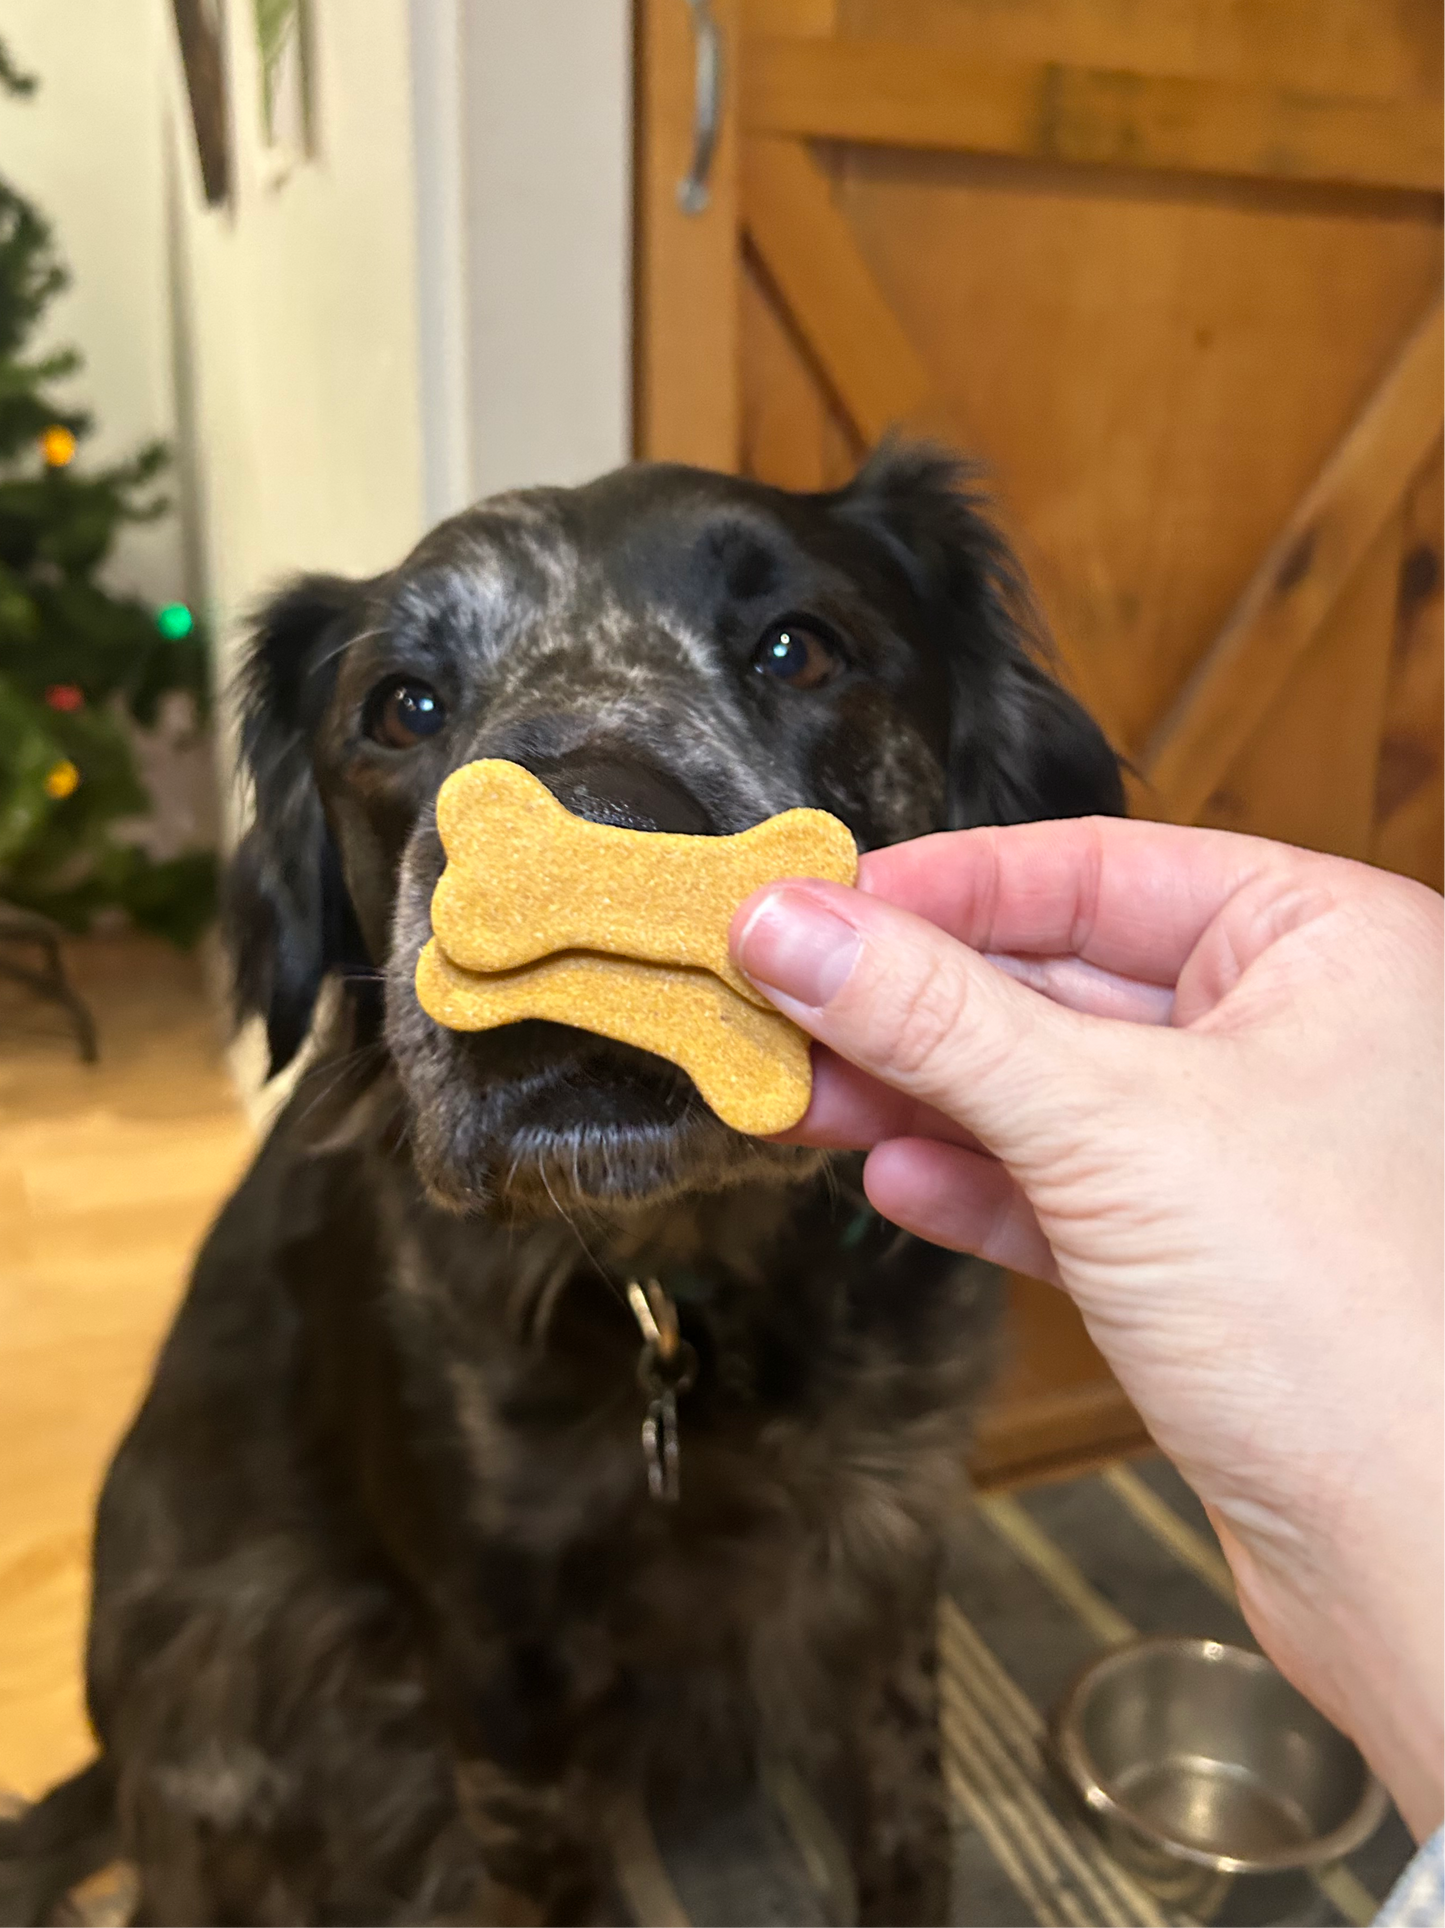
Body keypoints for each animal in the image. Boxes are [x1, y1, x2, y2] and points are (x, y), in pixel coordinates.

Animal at [0, 447, 1118, 1928]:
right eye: (402, 706)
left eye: (797, 648)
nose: (582, 859)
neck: (683, 1287)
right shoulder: (497, 1652)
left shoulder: (877, 1561)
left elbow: (905, 1824)